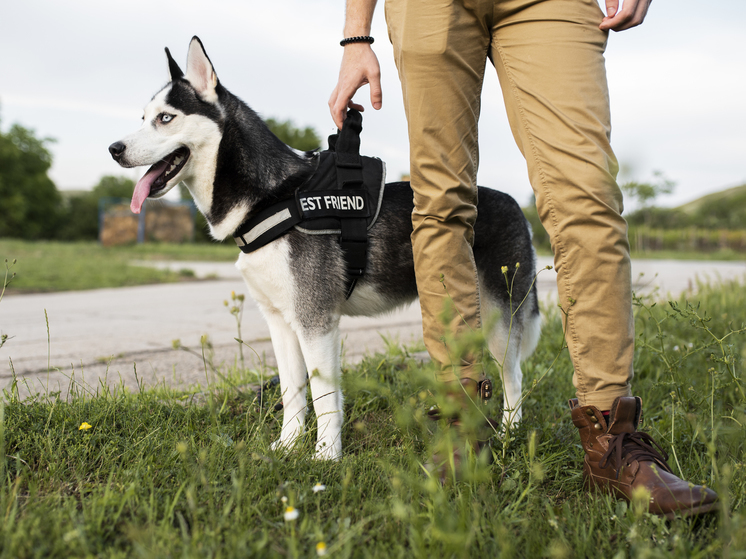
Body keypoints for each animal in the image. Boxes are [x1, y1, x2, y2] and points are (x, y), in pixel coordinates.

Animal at [109, 37, 540, 462]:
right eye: (144, 117)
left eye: (166, 118)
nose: (114, 148)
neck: (272, 197)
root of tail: (514, 203)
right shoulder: (282, 323)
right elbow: (293, 393)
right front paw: (288, 445)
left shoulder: (315, 321)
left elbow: (324, 396)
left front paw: (326, 456)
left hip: (499, 320)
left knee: (514, 377)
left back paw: (509, 435)